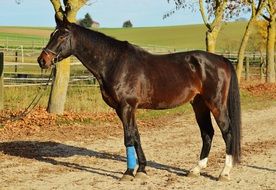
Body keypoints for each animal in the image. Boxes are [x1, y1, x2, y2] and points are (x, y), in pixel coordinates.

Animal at [37, 16, 240, 181]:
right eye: (52, 34)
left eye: (62, 36)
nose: (42, 60)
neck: (115, 63)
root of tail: (221, 59)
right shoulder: (122, 109)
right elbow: (136, 136)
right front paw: (141, 169)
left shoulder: (126, 106)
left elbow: (128, 138)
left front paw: (128, 172)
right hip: (199, 105)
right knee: (207, 133)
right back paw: (196, 169)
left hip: (215, 104)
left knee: (227, 132)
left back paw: (224, 172)